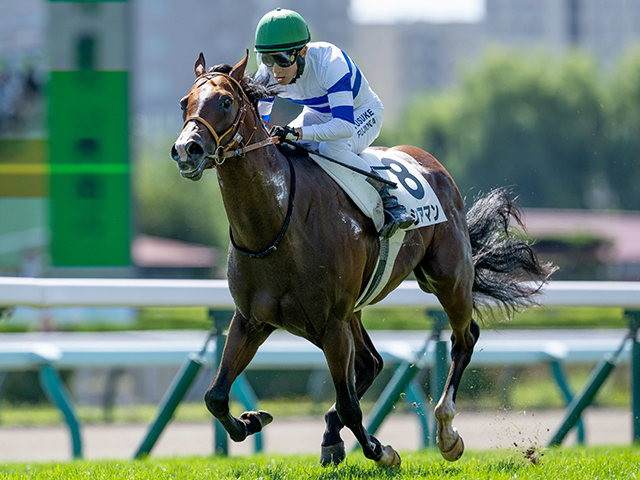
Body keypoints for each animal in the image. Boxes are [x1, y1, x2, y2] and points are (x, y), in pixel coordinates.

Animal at [170, 53, 556, 468]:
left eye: (226, 101)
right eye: (184, 102)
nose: (187, 150)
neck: (276, 223)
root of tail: (431, 162)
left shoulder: (331, 324)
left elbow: (350, 405)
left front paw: (380, 450)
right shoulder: (251, 320)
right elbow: (215, 396)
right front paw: (253, 419)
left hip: (446, 277)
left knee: (463, 338)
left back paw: (446, 432)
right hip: (354, 308)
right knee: (372, 363)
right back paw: (332, 435)